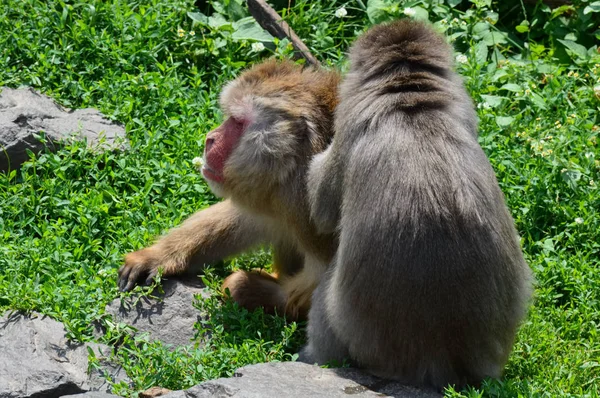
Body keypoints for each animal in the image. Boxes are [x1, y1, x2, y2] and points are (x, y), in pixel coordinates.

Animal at [119, 59, 340, 320]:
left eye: (237, 121)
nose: (209, 138)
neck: (301, 162)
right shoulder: (280, 192)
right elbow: (247, 219)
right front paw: (157, 256)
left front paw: (244, 287)